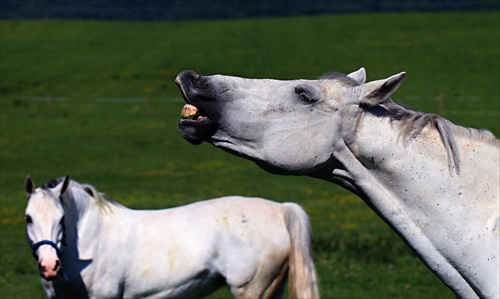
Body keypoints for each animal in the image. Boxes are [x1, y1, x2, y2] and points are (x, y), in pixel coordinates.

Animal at [23, 176, 318, 299]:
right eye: (28, 218)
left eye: (61, 218)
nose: (49, 266)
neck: (90, 241)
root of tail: (282, 208)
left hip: (251, 290)